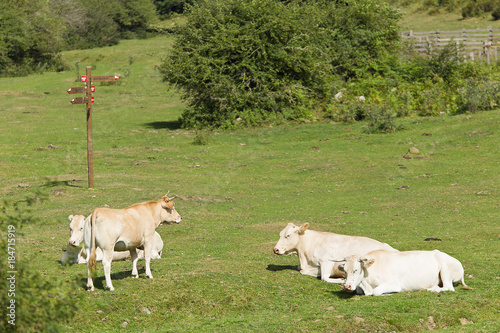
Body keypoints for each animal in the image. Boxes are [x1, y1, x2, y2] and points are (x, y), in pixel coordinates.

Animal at [334, 249, 470, 296]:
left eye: (356, 269)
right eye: (345, 271)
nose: (347, 286)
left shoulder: (393, 283)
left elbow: (376, 292)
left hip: (445, 271)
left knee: (448, 288)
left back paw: (430, 289)